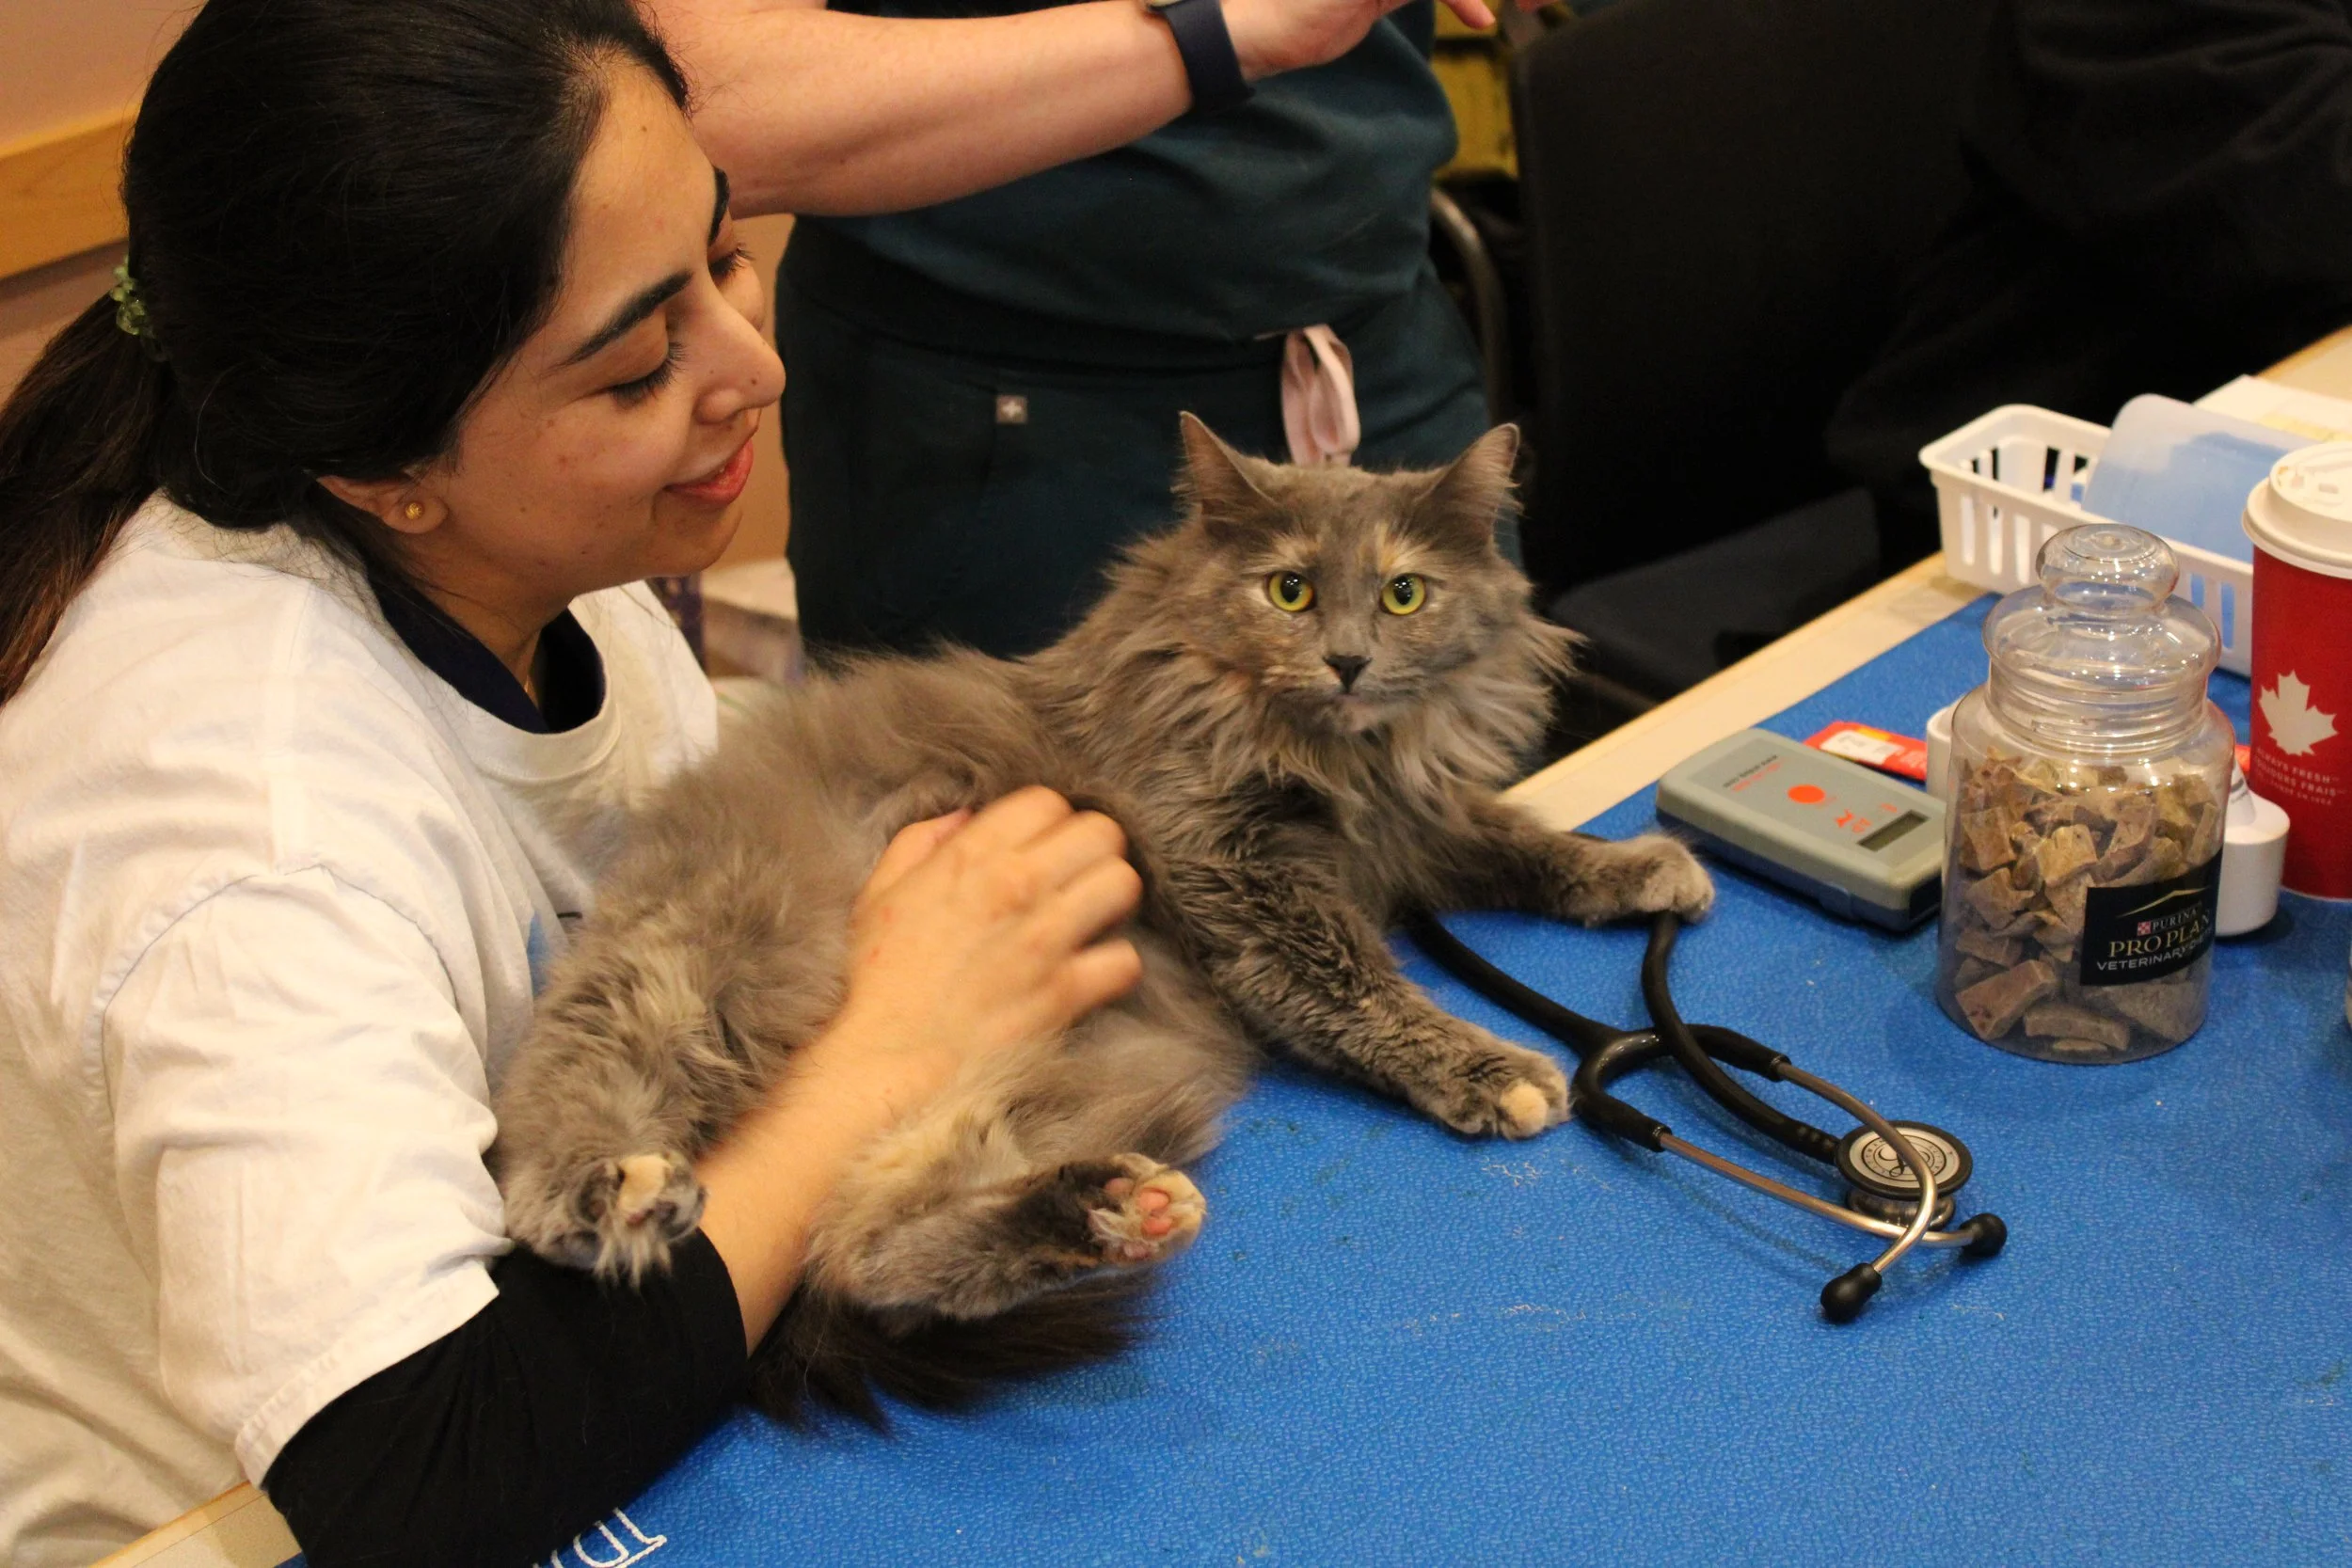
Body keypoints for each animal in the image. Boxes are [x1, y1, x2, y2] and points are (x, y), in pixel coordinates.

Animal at [490, 416, 1713, 1422]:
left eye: (1403, 594)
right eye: (1288, 591)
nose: (1348, 658)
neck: (1343, 754)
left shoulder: (1406, 831)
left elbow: (1511, 838)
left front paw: (1645, 865)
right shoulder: (1238, 872)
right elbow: (1365, 987)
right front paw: (1491, 1068)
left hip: (1047, 1095)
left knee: (869, 1247)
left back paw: (1102, 1212)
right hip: (705, 949)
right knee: (558, 1105)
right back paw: (612, 1190)